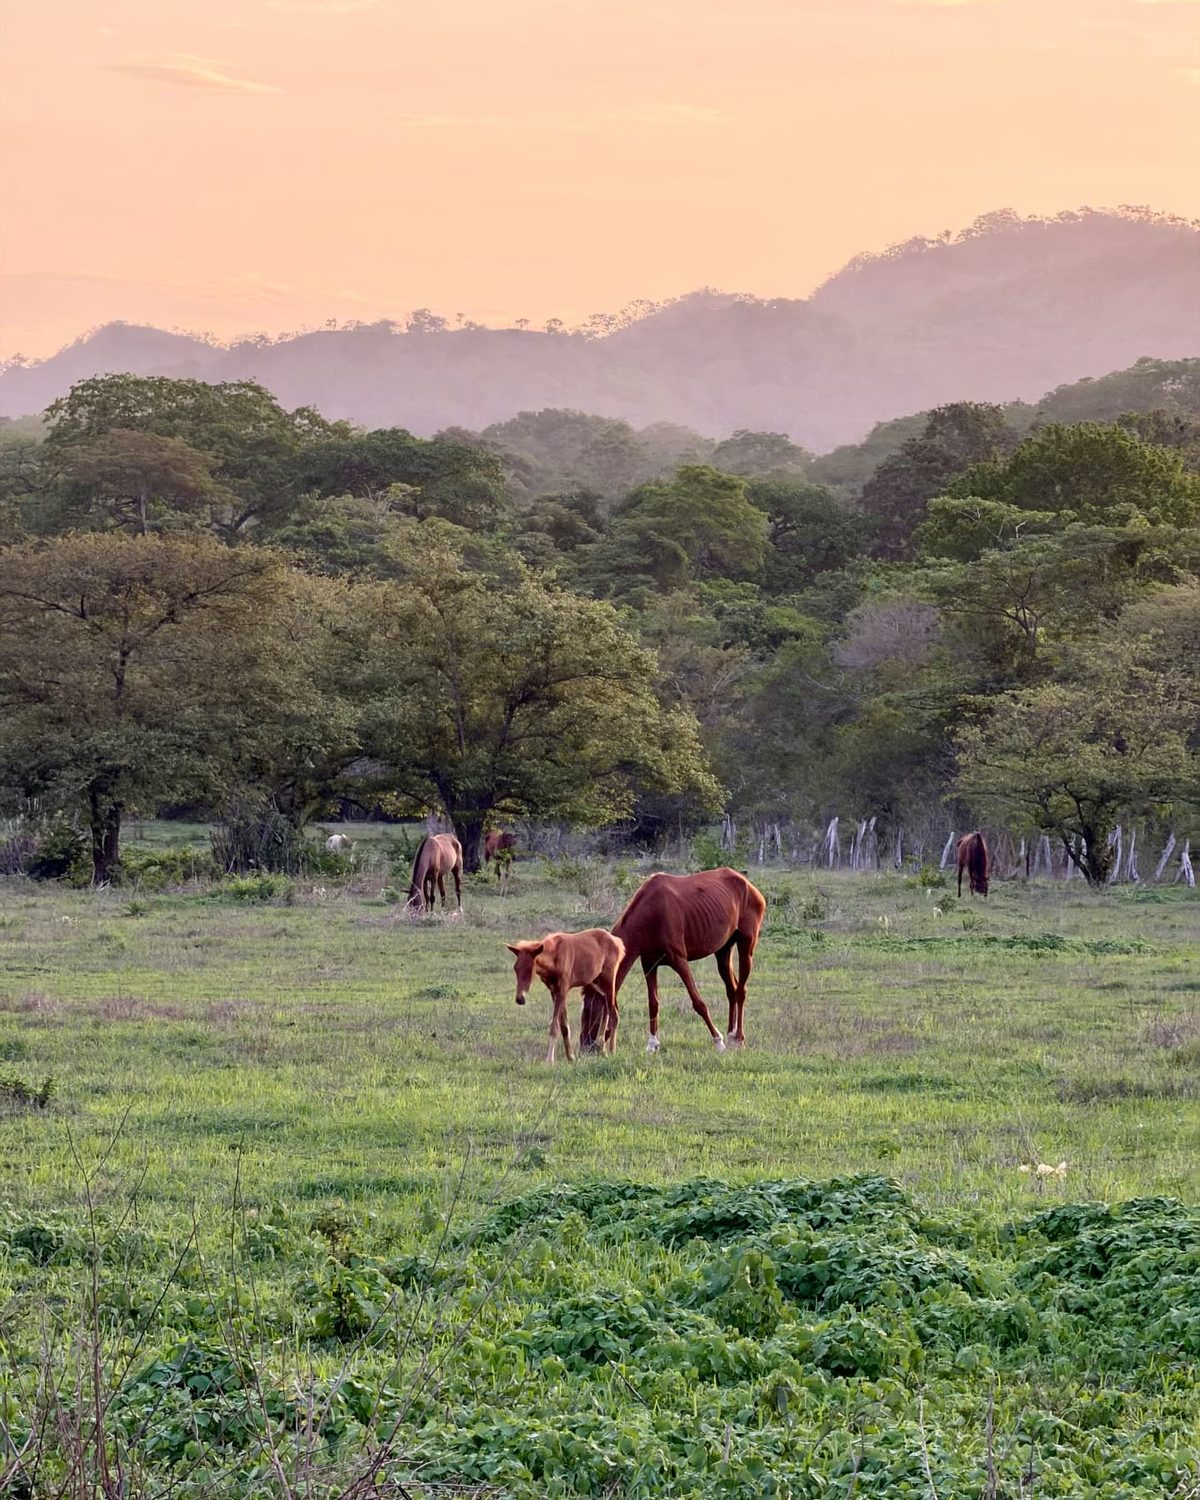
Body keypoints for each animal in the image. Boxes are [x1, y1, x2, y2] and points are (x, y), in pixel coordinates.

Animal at [507, 930, 624, 1063]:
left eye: (530, 968)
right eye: (516, 968)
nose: (520, 999)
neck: (555, 957)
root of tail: (618, 942)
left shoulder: (562, 990)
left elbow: (554, 1026)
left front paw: (549, 1060)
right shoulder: (554, 992)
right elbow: (564, 1026)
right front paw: (570, 1057)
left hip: (608, 981)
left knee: (614, 1014)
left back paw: (612, 1051)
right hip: (597, 984)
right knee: (607, 1008)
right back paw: (603, 1050)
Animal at [582, 868, 766, 1054]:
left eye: (590, 1010)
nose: (585, 1046)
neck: (651, 914)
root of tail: (748, 884)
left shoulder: (679, 960)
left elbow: (698, 1003)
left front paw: (718, 1041)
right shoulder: (649, 964)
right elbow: (653, 1004)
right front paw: (652, 1044)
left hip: (746, 945)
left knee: (741, 991)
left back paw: (738, 1038)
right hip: (723, 951)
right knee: (731, 989)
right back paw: (731, 1034)